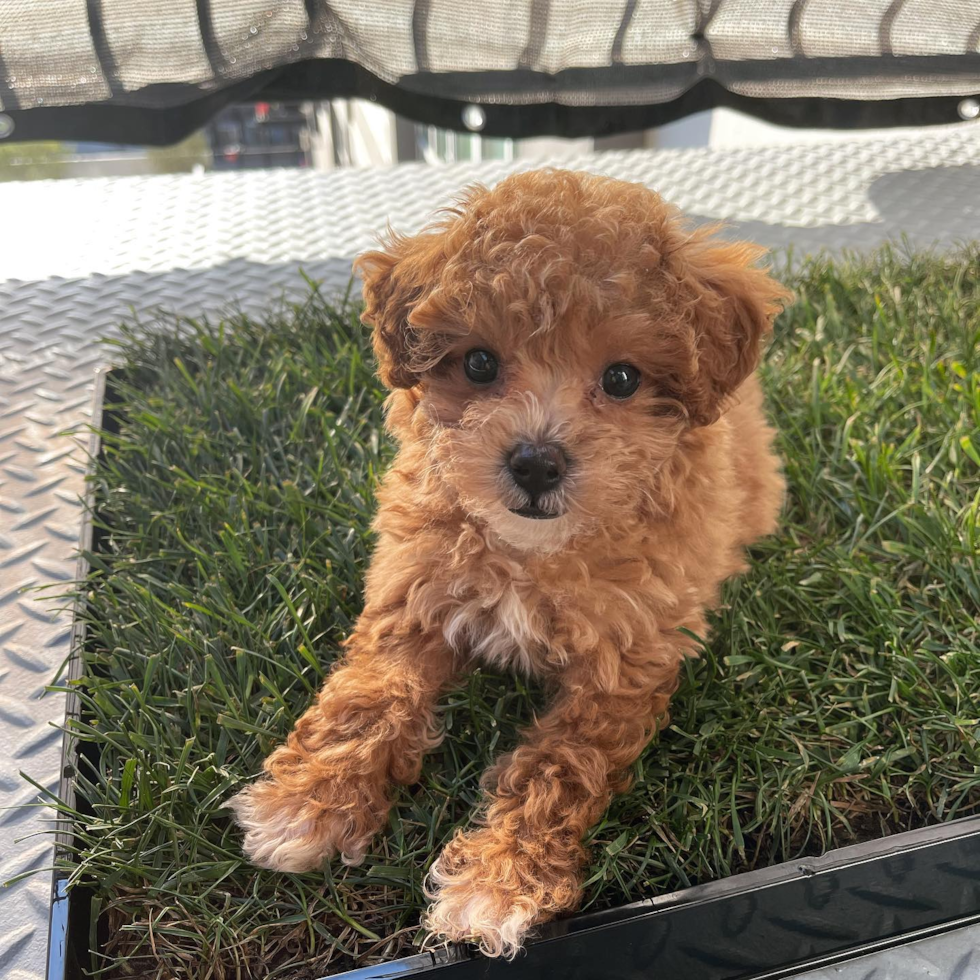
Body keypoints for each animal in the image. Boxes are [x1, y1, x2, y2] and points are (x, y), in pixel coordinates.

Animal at [232, 168, 796, 956]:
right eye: (478, 363)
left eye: (622, 379)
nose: (535, 461)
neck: (533, 554)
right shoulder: (412, 597)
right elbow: (368, 697)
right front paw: (308, 802)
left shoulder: (623, 668)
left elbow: (559, 766)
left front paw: (500, 881)